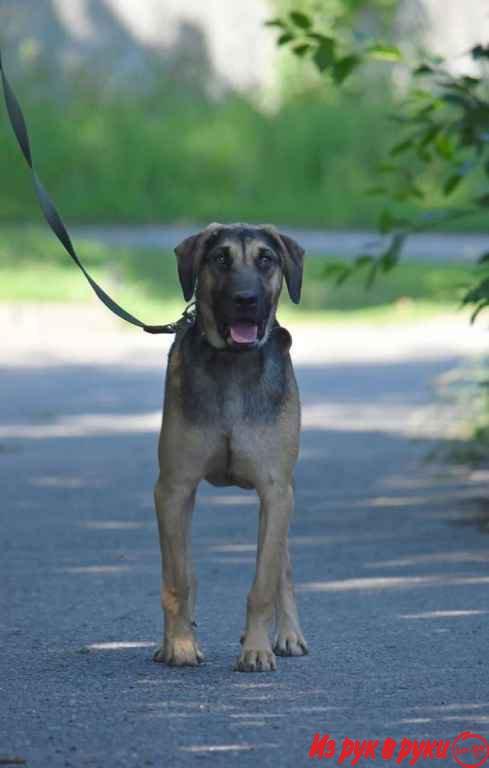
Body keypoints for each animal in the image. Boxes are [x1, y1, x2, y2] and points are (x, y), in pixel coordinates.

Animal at [152, 222, 306, 672]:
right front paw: (181, 645)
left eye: (266, 259)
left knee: (283, 567)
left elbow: (265, 582)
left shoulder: (275, 490)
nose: (245, 300)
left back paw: (288, 635)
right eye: (220, 259)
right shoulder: (173, 488)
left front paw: (256, 649)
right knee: (183, 568)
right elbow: (177, 579)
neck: (234, 366)